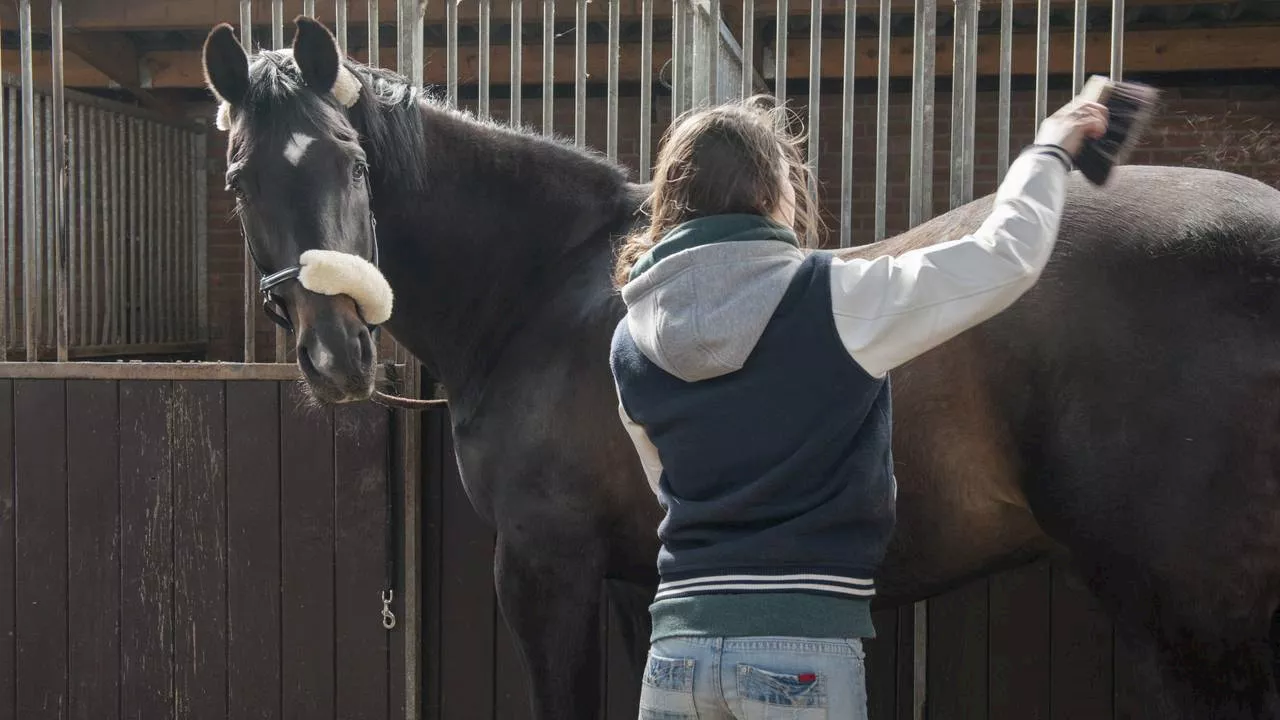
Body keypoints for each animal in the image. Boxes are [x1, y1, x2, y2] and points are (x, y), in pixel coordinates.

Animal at [204, 18, 1280, 717]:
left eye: (350, 161)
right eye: (240, 179)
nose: (336, 350)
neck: (545, 290)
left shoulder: (546, 569)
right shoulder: (642, 580)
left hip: (1193, 620)